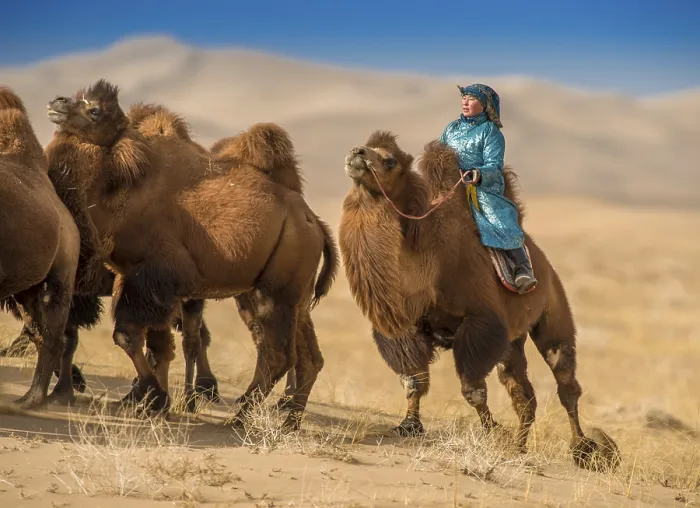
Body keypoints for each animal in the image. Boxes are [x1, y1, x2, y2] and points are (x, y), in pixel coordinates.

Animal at [45, 79, 338, 430]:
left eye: (95, 111)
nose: (57, 101)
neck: (124, 185)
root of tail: (315, 223)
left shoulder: (156, 275)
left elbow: (127, 336)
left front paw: (153, 397)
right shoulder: (134, 278)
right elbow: (152, 343)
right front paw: (150, 402)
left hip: (274, 291)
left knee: (277, 354)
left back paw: (240, 415)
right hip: (294, 297)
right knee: (307, 357)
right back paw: (286, 421)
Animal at [338, 130, 620, 472]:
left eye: (389, 160)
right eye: (367, 147)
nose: (356, 152)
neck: (430, 263)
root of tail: (544, 264)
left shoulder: (479, 323)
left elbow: (472, 390)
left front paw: (492, 432)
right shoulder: (408, 329)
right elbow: (414, 381)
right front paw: (410, 425)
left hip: (553, 314)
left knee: (565, 382)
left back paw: (583, 449)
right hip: (512, 342)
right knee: (523, 395)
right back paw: (519, 447)